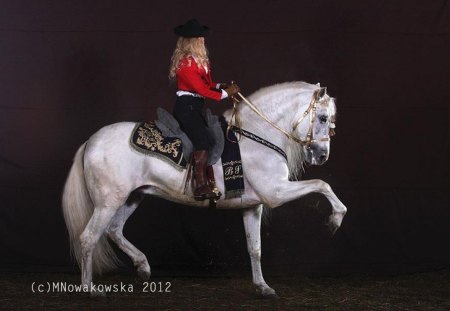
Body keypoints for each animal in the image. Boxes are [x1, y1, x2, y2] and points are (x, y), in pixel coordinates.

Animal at [61, 80, 346, 298]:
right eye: (322, 118)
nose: (322, 156)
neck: (255, 135)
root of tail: (91, 141)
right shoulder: (275, 192)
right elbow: (322, 184)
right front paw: (335, 219)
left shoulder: (253, 206)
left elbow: (255, 248)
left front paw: (262, 287)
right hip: (108, 201)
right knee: (89, 237)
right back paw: (90, 290)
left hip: (132, 197)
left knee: (114, 230)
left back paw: (143, 267)